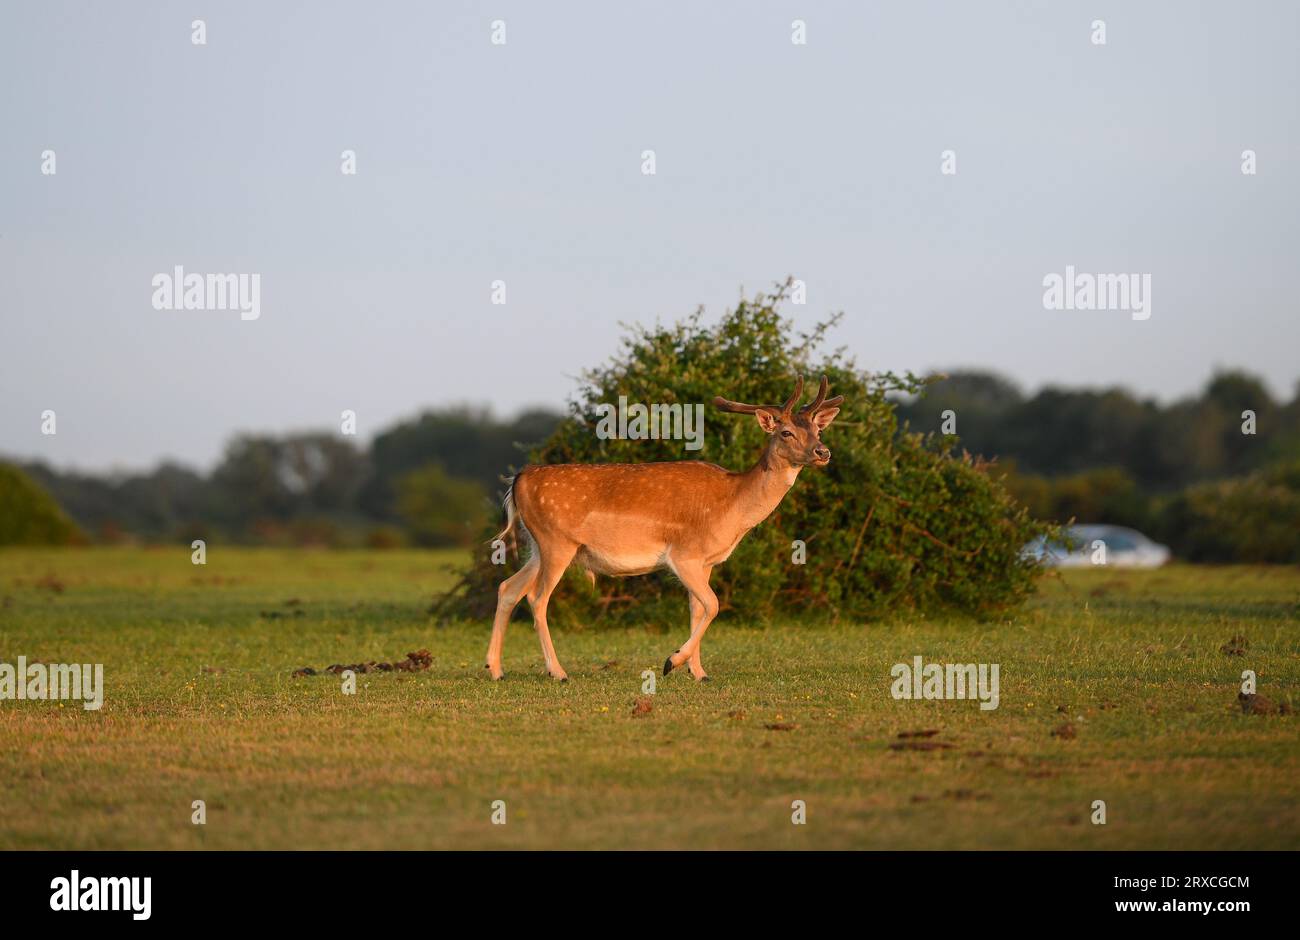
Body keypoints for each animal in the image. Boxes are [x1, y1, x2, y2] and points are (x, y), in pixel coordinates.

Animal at [485, 375, 843, 682]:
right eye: (786, 432)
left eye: (818, 430)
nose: (823, 452)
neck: (732, 507)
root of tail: (519, 480)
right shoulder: (683, 555)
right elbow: (713, 605)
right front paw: (672, 662)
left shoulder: (706, 561)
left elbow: (697, 609)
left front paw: (699, 673)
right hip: (556, 542)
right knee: (537, 598)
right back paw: (557, 672)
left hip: (538, 547)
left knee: (508, 588)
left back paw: (495, 669)